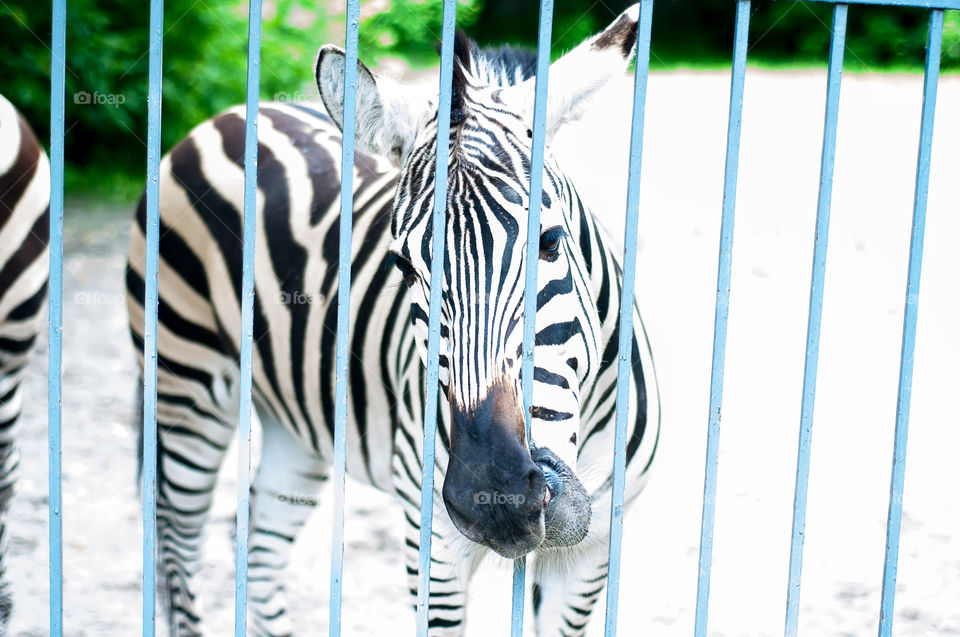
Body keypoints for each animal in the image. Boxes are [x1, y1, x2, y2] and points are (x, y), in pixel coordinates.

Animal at [124, 3, 656, 632]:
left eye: (550, 242)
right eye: (403, 264)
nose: (495, 498)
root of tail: (232, 116)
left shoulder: (592, 554)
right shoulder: (435, 549)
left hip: (295, 424)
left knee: (257, 538)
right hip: (185, 388)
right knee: (180, 545)